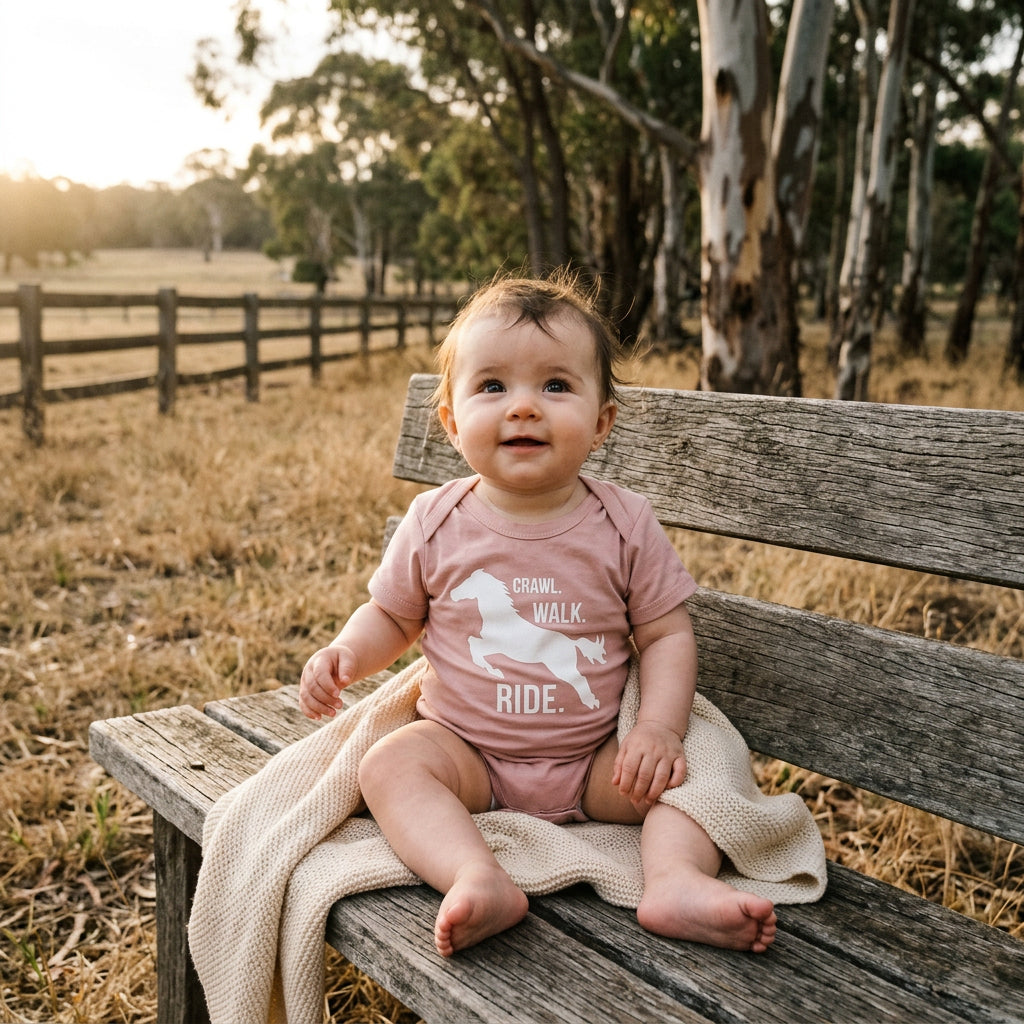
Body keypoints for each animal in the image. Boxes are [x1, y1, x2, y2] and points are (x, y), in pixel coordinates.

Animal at [450, 568, 604, 710]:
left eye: (468, 582)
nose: (452, 594)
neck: (501, 619)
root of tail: (572, 643)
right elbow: (472, 642)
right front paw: (493, 670)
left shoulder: (496, 646)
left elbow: (472, 642)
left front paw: (494, 670)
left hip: (561, 667)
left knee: (580, 679)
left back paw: (591, 702)